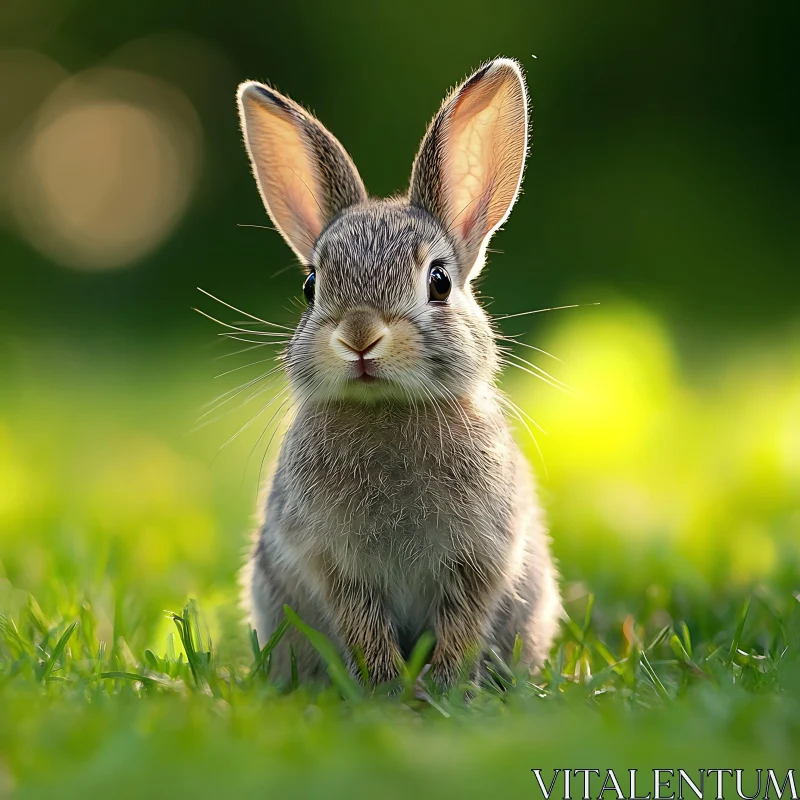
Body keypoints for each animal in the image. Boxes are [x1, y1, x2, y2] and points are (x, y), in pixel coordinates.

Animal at [238, 59, 560, 692]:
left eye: (439, 281)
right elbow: (359, 620)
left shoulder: (482, 557)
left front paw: (444, 685)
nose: (359, 335)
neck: (386, 408)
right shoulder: (331, 561)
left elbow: (462, 619)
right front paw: (386, 685)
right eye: (311, 285)